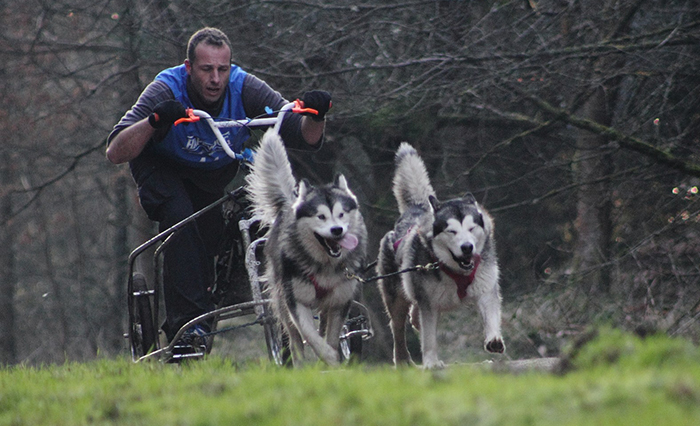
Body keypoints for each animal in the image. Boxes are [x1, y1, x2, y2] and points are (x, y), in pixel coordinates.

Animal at [245, 130, 366, 366]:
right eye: (321, 216)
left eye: (341, 214)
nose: (337, 230)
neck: (324, 265)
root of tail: (288, 205)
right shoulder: (296, 301)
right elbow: (310, 336)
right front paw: (328, 358)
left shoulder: (340, 301)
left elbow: (332, 337)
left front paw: (333, 360)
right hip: (281, 301)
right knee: (293, 340)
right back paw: (301, 366)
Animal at [378, 143, 504, 370]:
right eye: (451, 231)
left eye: (471, 228)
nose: (467, 247)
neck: (455, 270)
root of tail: (416, 208)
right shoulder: (428, 302)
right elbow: (428, 337)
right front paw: (431, 362)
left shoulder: (486, 286)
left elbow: (491, 314)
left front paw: (494, 339)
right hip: (395, 296)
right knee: (398, 325)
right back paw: (402, 359)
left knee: (413, 317)